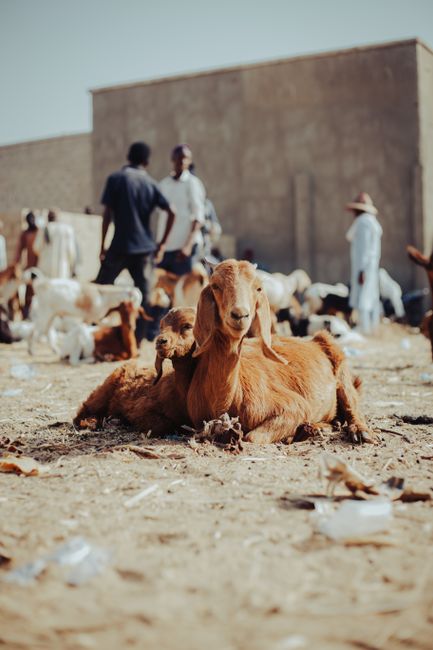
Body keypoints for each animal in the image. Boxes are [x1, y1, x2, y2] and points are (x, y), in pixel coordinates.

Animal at [188, 259, 373, 444]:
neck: (225, 400)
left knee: (352, 404)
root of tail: (314, 340)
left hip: (341, 371)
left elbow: (251, 437)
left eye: (258, 288)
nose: (240, 315)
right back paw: (314, 429)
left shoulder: (294, 406)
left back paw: (358, 431)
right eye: (215, 286)